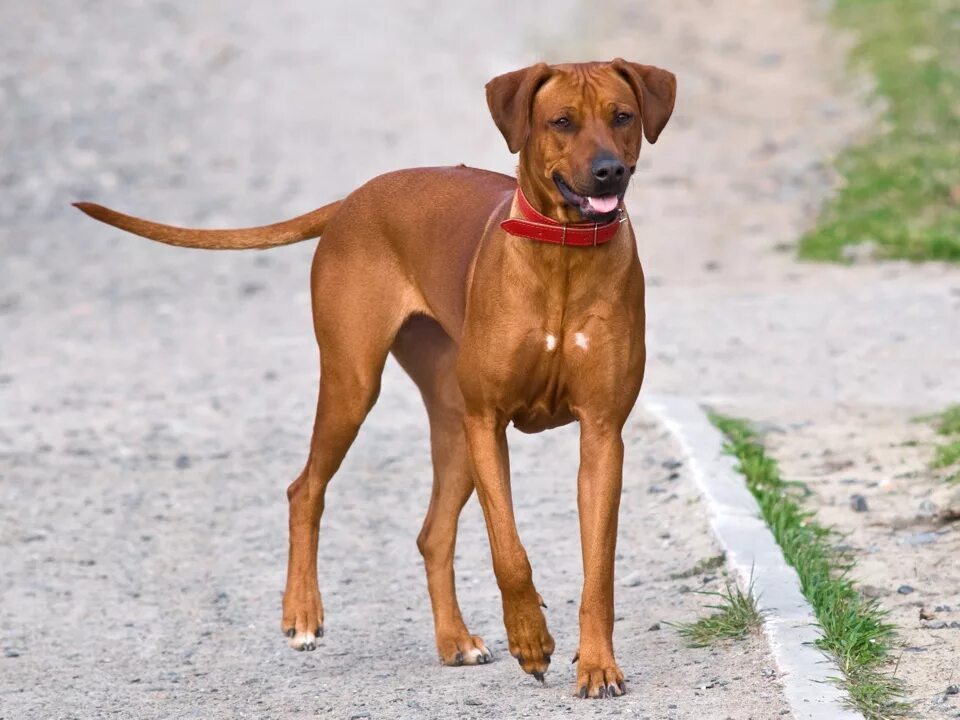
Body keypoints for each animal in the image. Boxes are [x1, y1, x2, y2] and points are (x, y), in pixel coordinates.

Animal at [75, 59, 676, 700]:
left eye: (623, 116)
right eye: (561, 121)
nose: (608, 169)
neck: (562, 256)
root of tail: (353, 198)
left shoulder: (601, 434)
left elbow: (598, 571)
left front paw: (598, 666)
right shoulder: (488, 421)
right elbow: (509, 554)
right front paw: (531, 639)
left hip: (452, 426)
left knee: (432, 534)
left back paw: (454, 640)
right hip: (356, 385)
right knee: (305, 489)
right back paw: (302, 614)